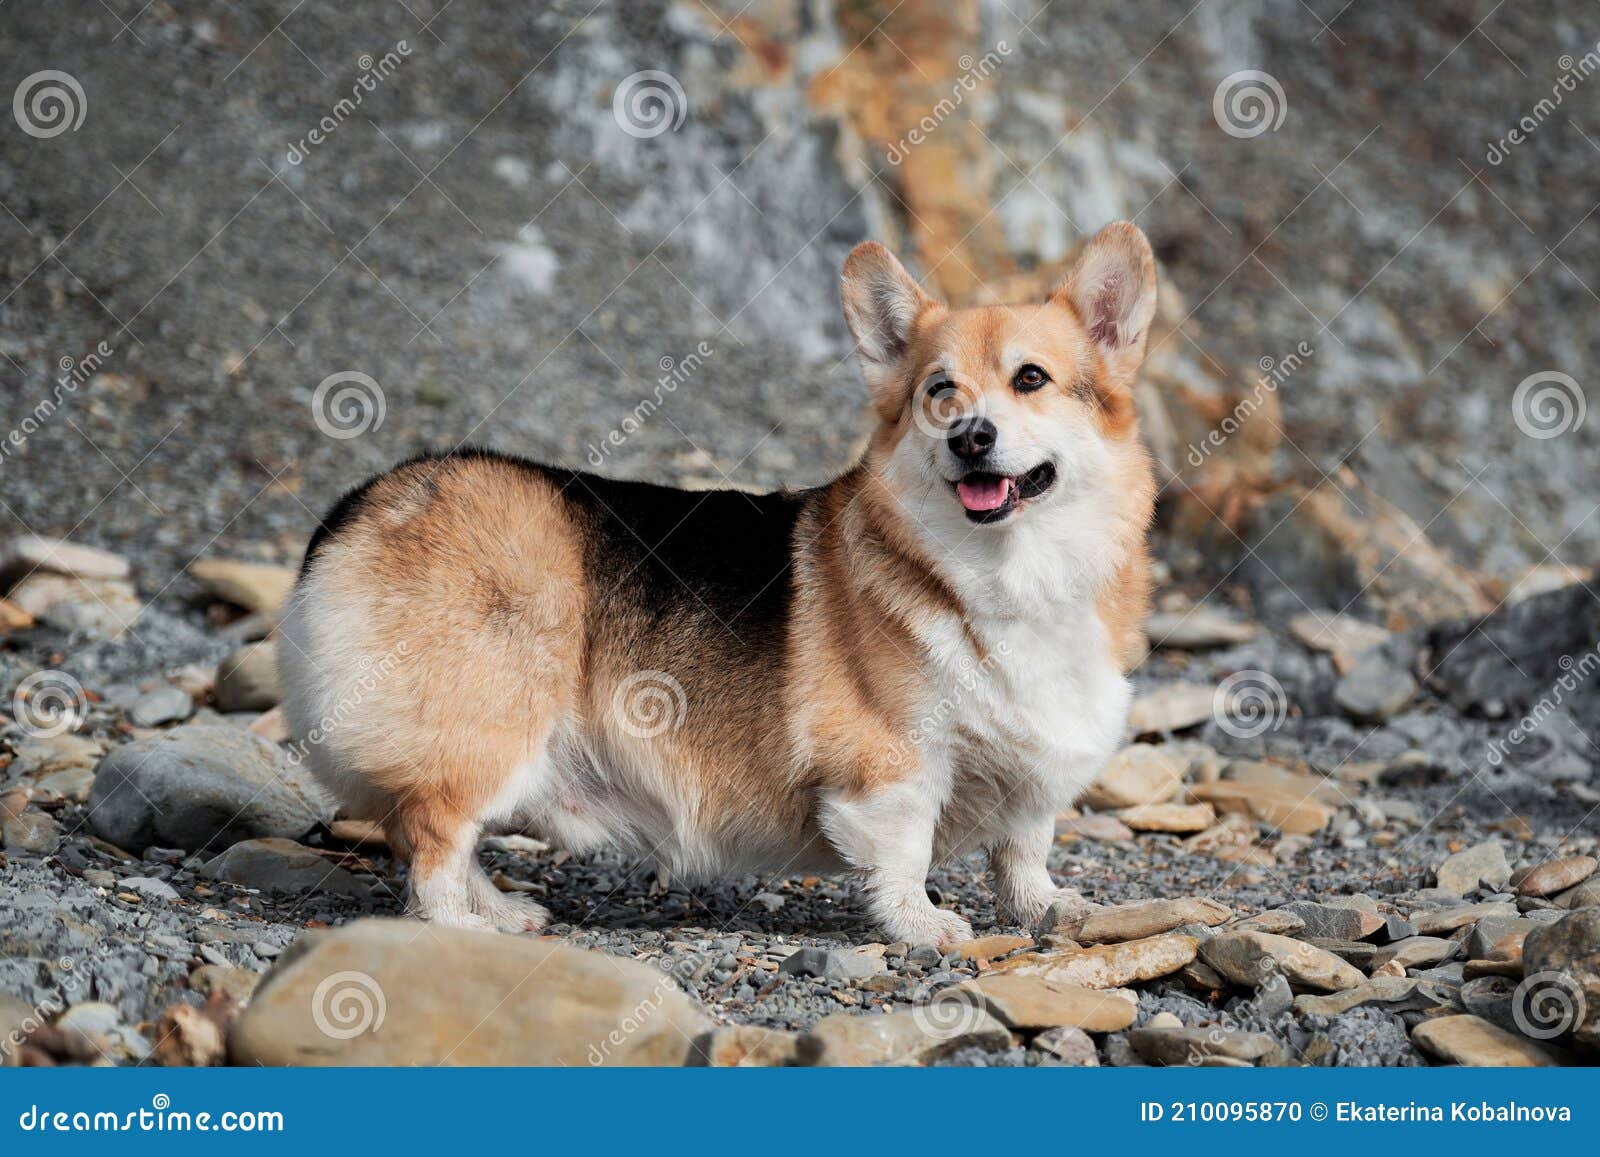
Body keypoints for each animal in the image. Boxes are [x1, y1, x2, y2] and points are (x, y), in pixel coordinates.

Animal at [281, 219, 1158, 947]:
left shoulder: (1032, 772)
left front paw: (1046, 907)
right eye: (938, 392)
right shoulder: (894, 761)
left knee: (438, 838)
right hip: (485, 730)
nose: (972, 437)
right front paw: (922, 924)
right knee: (434, 839)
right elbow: (905, 851)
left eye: (1032, 379)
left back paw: (500, 910)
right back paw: (462, 926)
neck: (1007, 570)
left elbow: (1024, 846)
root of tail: (362, 505)